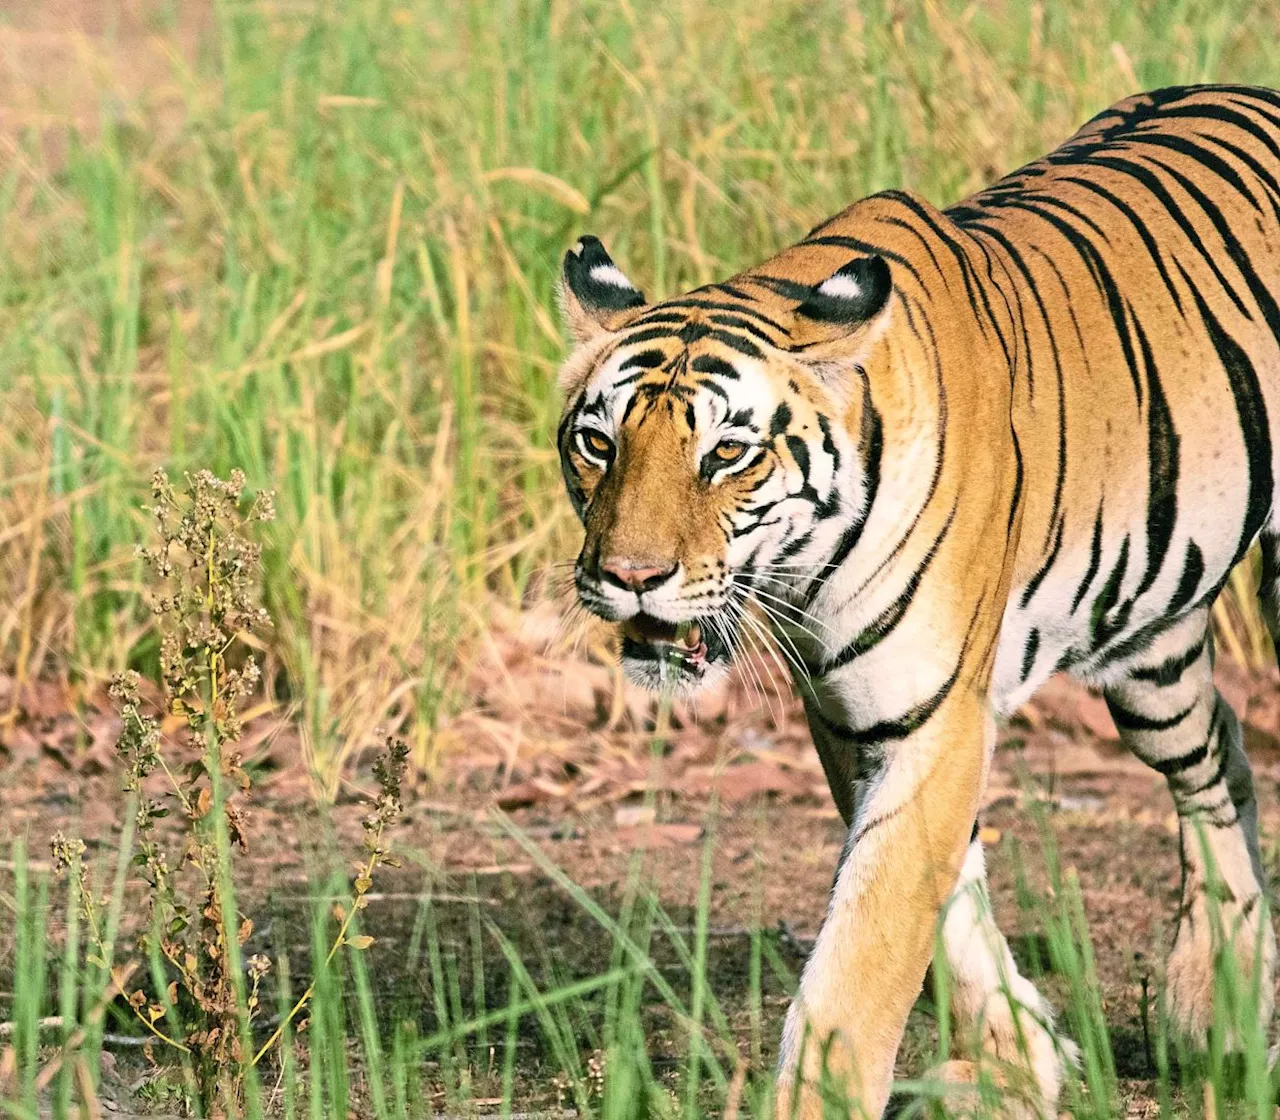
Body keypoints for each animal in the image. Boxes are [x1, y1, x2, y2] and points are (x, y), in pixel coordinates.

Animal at [555, 83, 1280, 1116]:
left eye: (727, 454)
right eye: (599, 444)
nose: (630, 576)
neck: (806, 573)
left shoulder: (931, 714)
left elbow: (870, 943)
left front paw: (825, 1095)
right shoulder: (853, 720)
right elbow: (941, 908)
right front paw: (1021, 1062)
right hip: (1150, 632)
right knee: (1217, 758)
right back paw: (1212, 1008)